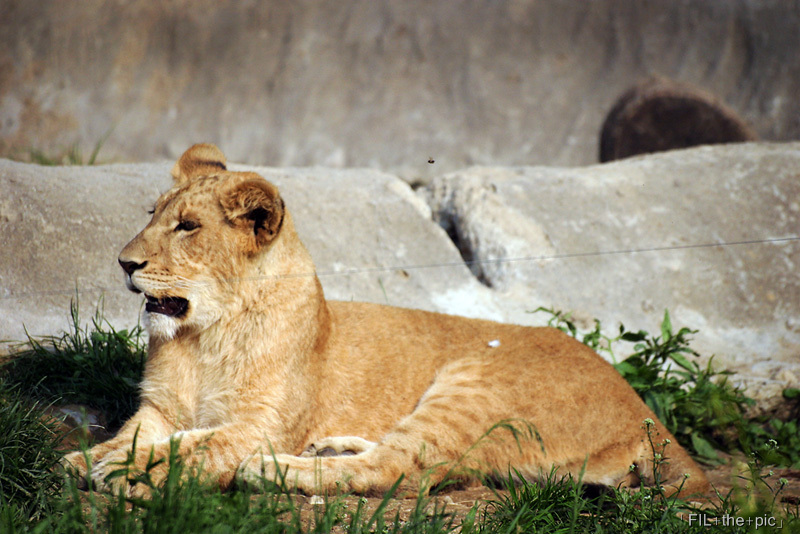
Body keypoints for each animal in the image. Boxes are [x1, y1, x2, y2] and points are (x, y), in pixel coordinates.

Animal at [65, 144, 708, 500]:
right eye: (153, 214)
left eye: (188, 227)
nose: (123, 262)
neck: (204, 336)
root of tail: (646, 414)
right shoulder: (160, 407)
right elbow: (136, 433)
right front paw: (86, 459)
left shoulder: (263, 425)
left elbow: (199, 446)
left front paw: (122, 472)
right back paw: (327, 450)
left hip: (473, 382)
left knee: (399, 468)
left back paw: (272, 471)